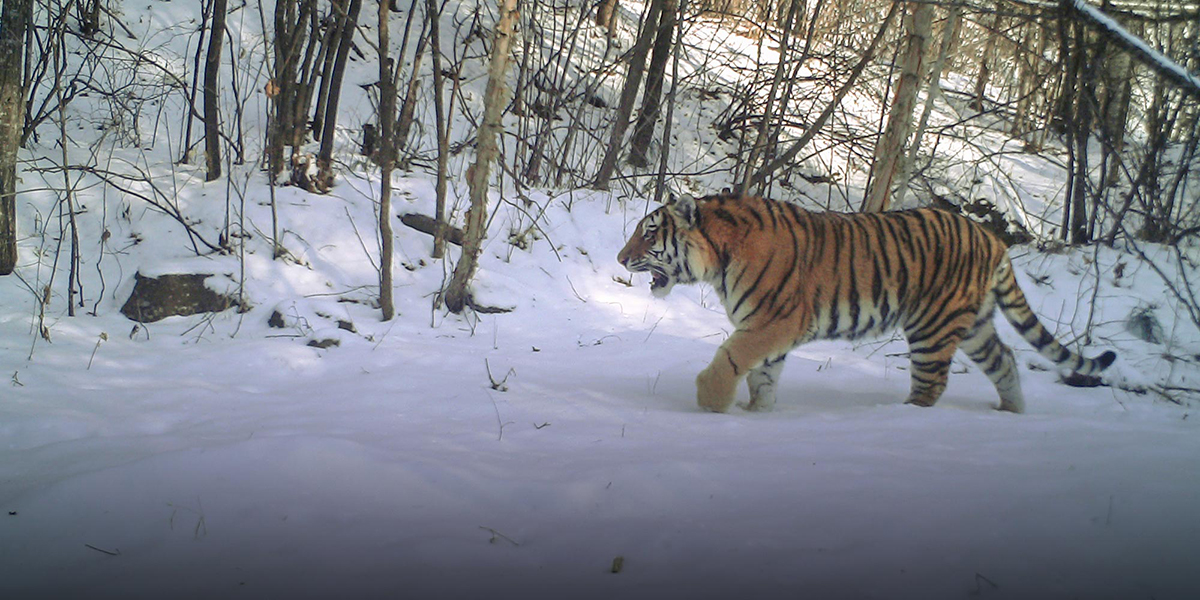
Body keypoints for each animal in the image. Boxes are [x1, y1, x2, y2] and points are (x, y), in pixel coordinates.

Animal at [616, 192, 1116, 414]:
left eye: (649, 233)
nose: (620, 259)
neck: (718, 260)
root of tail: (992, 238)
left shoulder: (774, 321)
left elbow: (732, 357)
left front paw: (710, 402)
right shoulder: (768, 329)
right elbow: (762, 376)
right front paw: (757, 413)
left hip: (932, 327)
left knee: (933, 383)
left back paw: (900, 418)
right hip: (974, 325)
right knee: (1006, 360)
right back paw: (1011, 413)